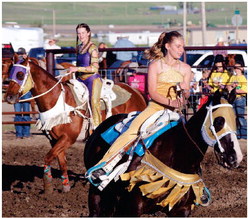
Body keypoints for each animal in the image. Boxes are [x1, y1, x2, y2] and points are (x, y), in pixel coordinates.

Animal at [4, 57, 147, 193]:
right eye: (11, 73)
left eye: (20, 74)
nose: (8, 97)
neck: (57, 100)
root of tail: (136, 93)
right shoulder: (54, 139)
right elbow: (61, 161)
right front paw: (66, 187)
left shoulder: (68, 138)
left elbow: (48, 157)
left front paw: (48, 186)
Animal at [84, 88, 243, 216]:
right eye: (219, 121)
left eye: (236, 120)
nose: (235, 157)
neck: (178, 155)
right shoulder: (133, 207)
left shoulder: (182, 210)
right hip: (96, 194)